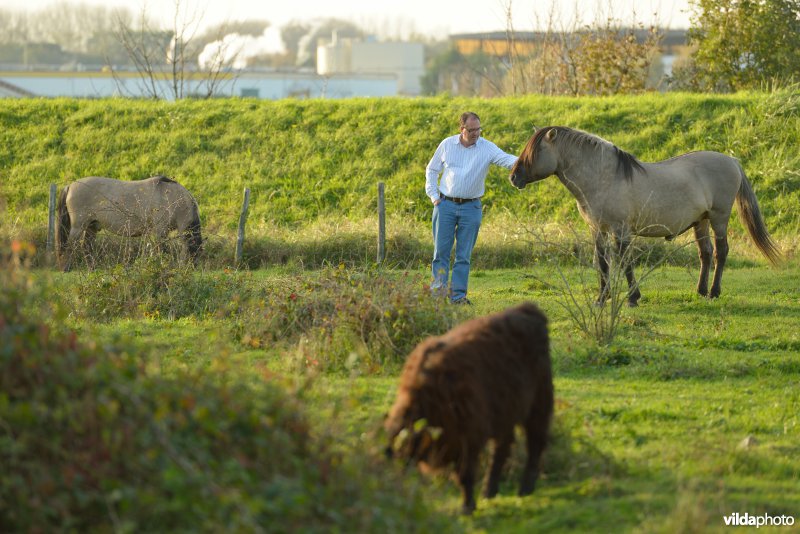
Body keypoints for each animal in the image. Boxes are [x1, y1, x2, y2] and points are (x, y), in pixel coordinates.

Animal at [55, 177, 202, 272]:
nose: (191, 269)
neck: (172, 198)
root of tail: (70, 186)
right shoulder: (160, 230)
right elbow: (159, 250)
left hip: (91, 227)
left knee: (86, 246)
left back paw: (92, 268)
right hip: (78, 227)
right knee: (70, 246)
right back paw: (65, 269)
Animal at [384, 302, 552, 516]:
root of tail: (528, 310)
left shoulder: (469, 438)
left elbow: (465, 475)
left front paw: (467, 507)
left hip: (539, 404)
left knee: (535, 443)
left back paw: (525, 488)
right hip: (505, 412)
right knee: (502, 448)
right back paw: (489, 491)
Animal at [510, 126, 780, 308]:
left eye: (536, 150)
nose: (514, 177)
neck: (603, 177)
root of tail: (732, 160)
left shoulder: (621, 230)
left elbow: (625, 261)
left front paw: (632, 298)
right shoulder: (598, 229)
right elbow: (603, 263)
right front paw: (601, 298)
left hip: (718, 218)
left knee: (720, 252)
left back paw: (714, 292)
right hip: (701, 221)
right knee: (705, 253)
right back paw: (701, 291)